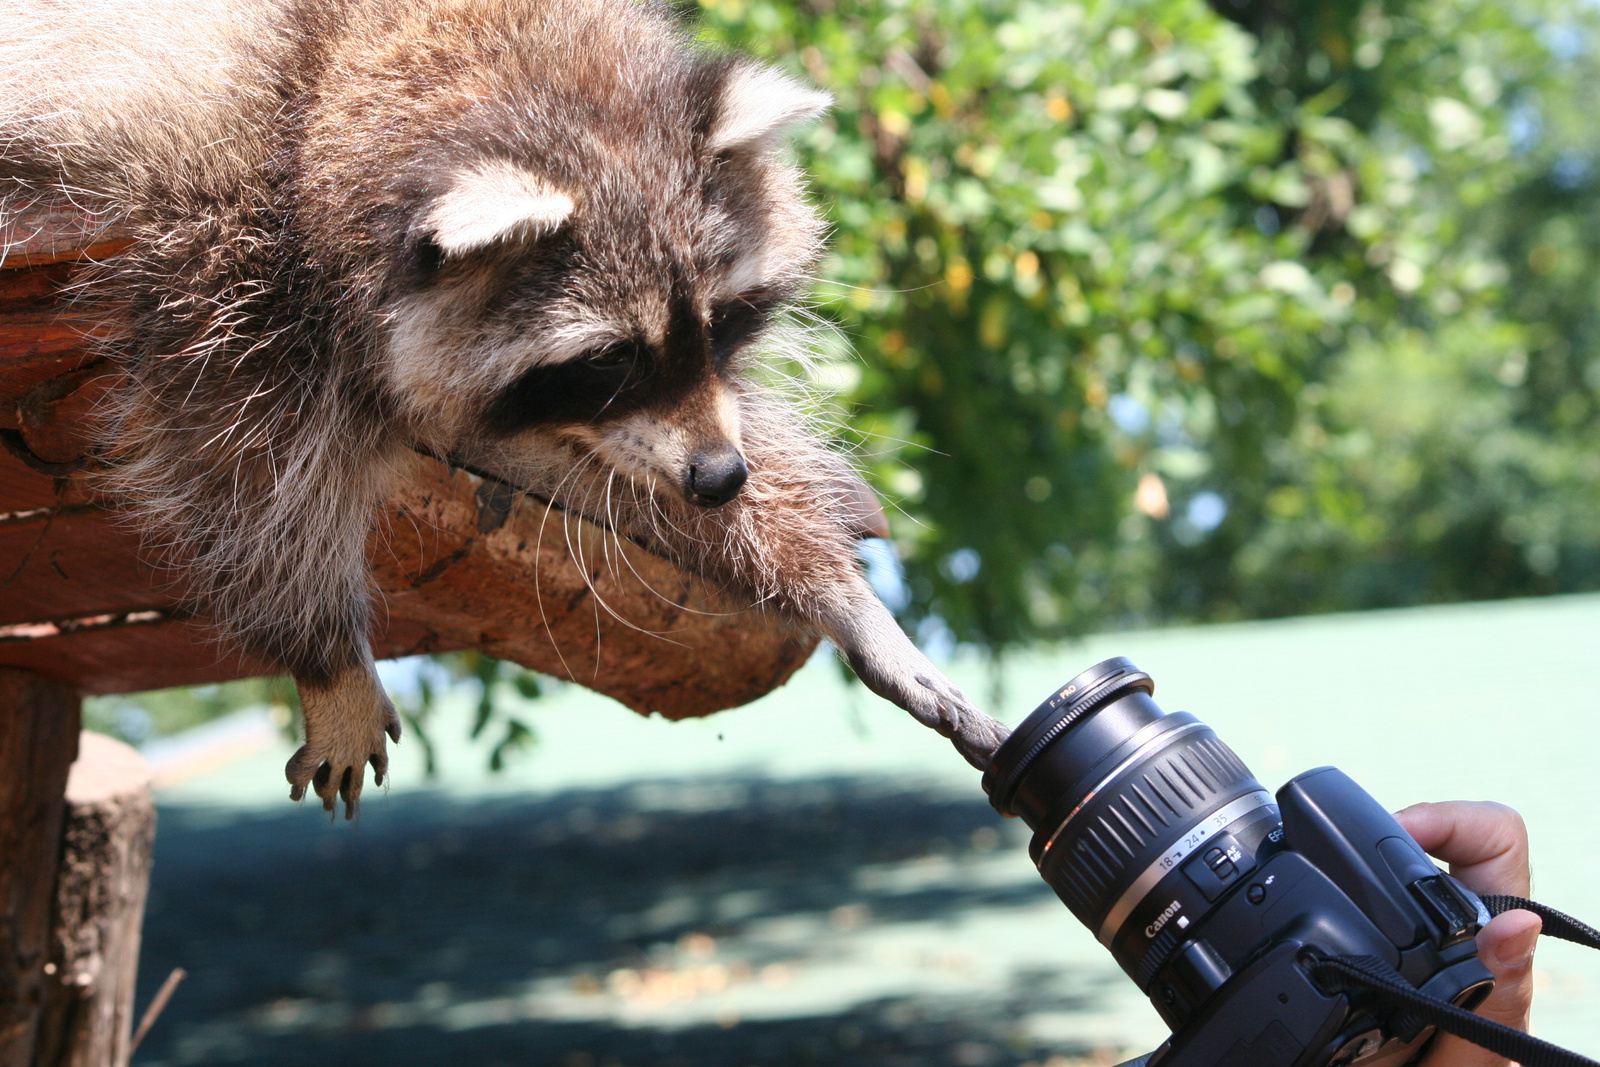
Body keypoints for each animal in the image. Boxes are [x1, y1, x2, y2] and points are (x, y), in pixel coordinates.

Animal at [3, 0, 998, 819]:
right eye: (610, 357)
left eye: (720, 323)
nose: (720, 478)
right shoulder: (223, 242)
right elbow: (238, 466)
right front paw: (326, 653)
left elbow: (634, 469)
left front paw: (841, 592)